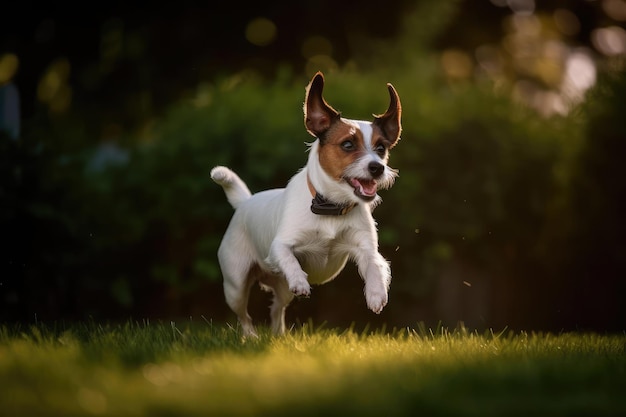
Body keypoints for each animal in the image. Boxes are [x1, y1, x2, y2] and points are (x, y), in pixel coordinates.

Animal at [212, 70, 402, 334]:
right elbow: (290, 259)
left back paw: (278, 335)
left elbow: (374, 264)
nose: (377, 167)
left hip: (281, 290)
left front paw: (376, 294)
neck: (330, 207)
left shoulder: (365, 247)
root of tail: (245, 203)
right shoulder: (280, 246)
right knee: (244, 316)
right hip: (236, 284)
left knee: (276, 309)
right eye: (347, 144)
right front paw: (301, 280)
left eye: (381, 148)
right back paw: (251, 337)